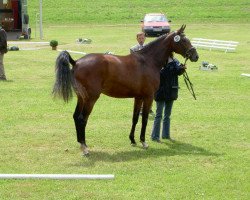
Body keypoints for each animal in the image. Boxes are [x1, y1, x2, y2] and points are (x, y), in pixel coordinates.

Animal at [53, 25, 199, 155]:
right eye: (184, 40)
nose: (195, 56)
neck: (148, 61)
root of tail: (76, 62)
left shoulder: (138, 97)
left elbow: (135, 118)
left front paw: (133, 140)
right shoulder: (148, 96)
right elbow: (144, 118)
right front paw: (143, 142)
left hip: (81, 97)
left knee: (75, 116)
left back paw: (80, 143)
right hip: (90, 99)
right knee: (82, 119)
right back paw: (85, 148)